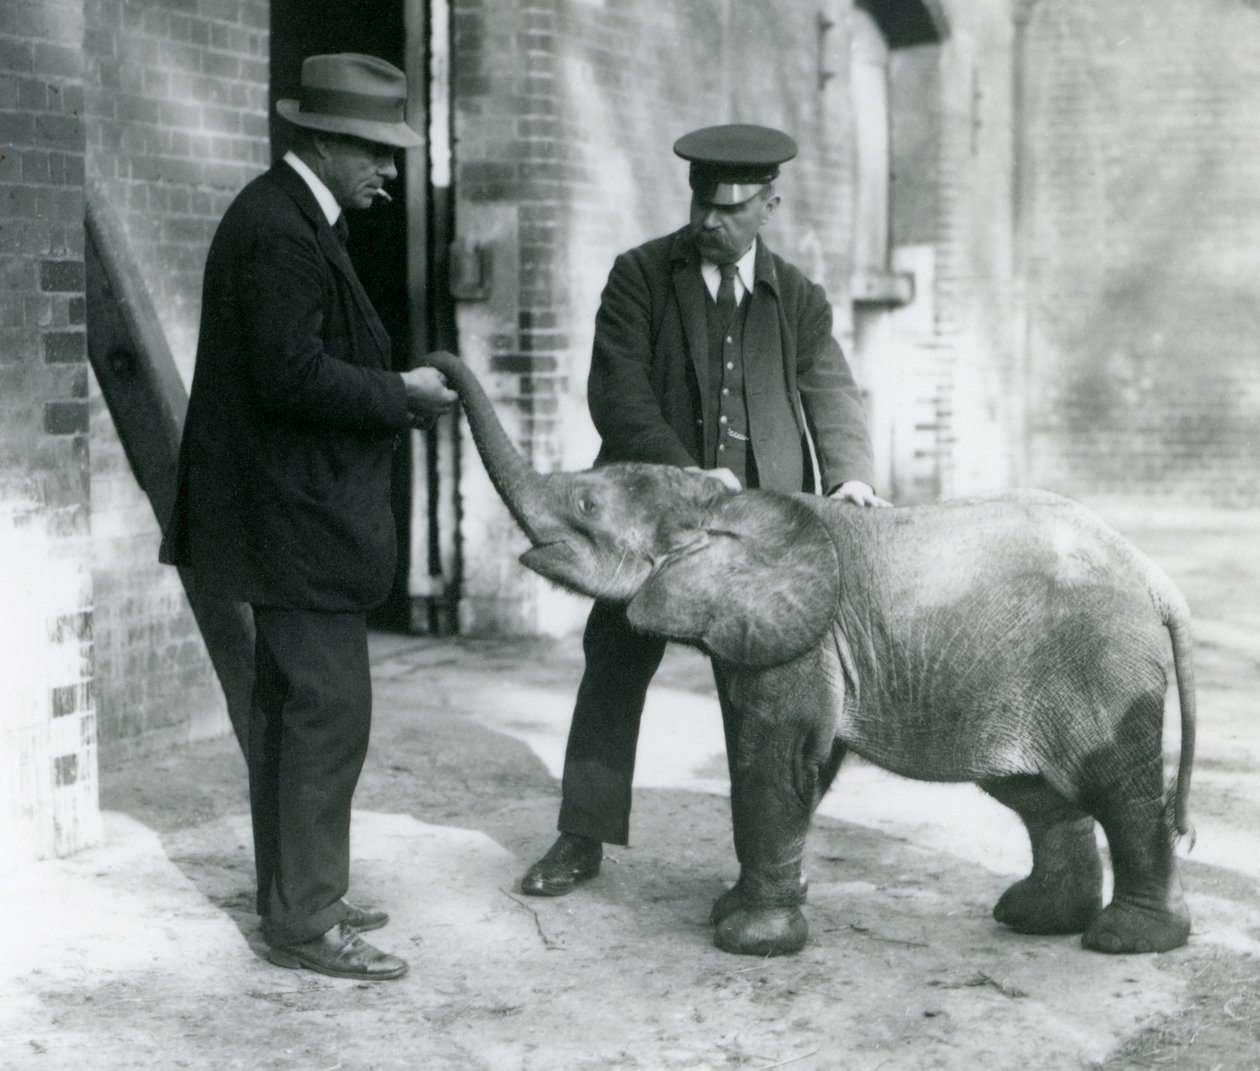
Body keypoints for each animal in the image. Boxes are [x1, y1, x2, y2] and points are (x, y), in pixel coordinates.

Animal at [428, 347, 1194, 952]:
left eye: (587, 508)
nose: (431, 374)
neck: (730, 507)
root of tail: (1157, 580)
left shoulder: (803, 643)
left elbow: (778, 757)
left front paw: (747, 940)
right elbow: (772, 762)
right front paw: (735, 909)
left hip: (1101, 667)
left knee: (1116, 788)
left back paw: (1128, 939)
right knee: (1038, 791)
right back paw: (1036, 918)